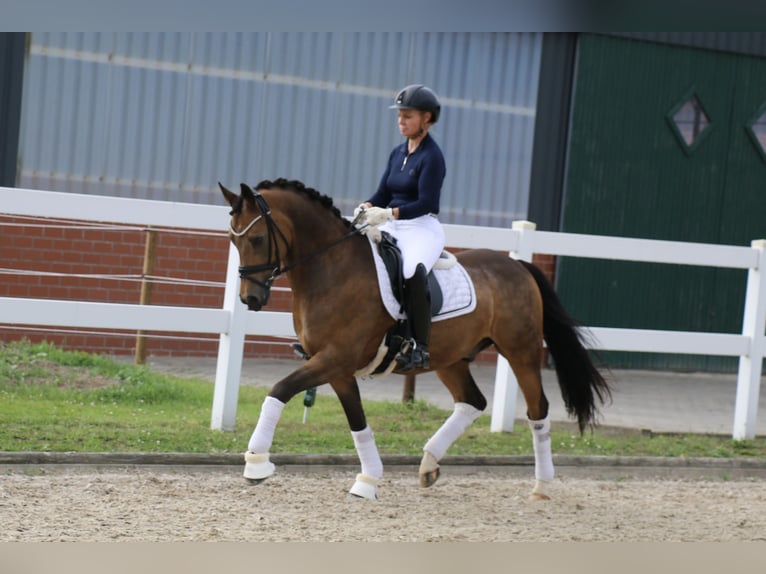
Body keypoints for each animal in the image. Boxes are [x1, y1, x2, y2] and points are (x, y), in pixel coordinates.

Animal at [220, 178, 612, 502]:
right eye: (232, 240)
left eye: (256, 239)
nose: (250, 299)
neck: (331, 268)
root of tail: (517, 264)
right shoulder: (336, 367)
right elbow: (357, 422)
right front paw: (368, 481)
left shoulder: (334, 359)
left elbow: (280, 390)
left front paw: (256, 462)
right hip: (451, 358)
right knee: (472, 402)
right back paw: (428, 465)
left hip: (521, 351)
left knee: (537, 411)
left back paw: (541, 486)